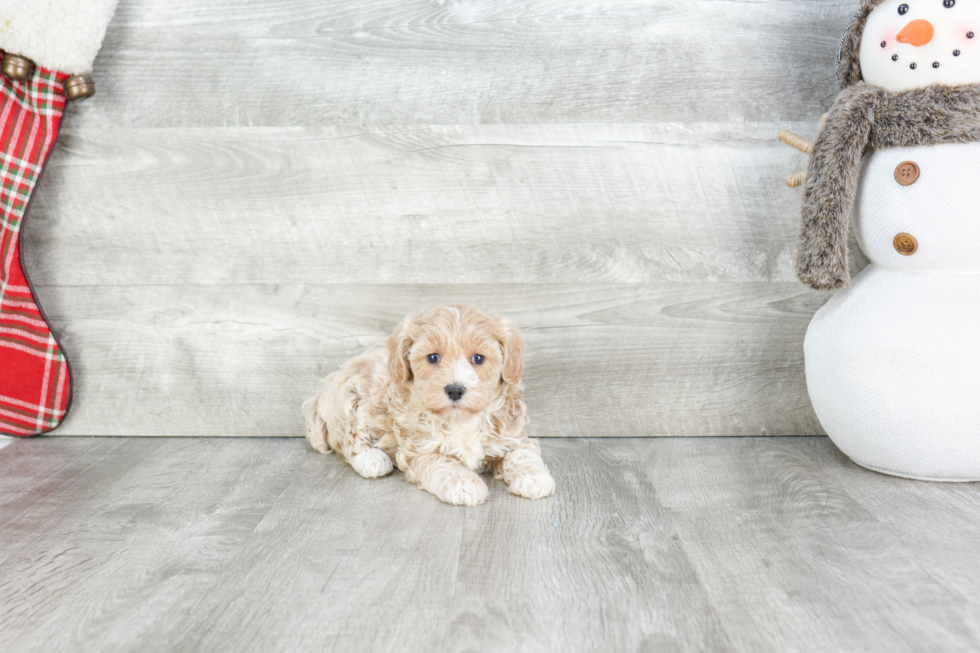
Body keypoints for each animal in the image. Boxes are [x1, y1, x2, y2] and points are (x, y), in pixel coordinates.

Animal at [302, 304, 556, 506]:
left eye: (478, 358)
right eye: (433, 357)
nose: (455, 389)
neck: (461, 419)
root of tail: (321, 393)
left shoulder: (513, 435)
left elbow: (522, 453)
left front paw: (534, 477)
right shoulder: (419, 449)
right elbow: (443, 464)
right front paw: (464, 484)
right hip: (348, 399)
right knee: (351, 438)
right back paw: (371, 459)